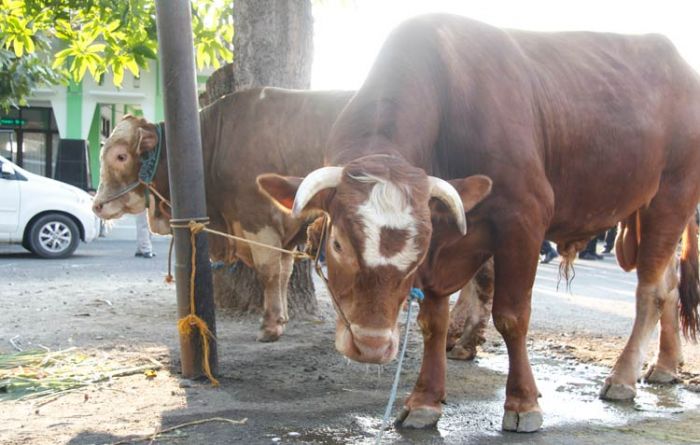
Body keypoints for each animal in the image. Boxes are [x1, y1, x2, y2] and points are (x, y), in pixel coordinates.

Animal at [92, 86, 352, 340]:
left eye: (121, 156)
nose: (97, 205)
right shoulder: (285, 230)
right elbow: (284, 272)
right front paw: (281, 319)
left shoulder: (258, 218)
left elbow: (268, 272)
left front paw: (270, 326)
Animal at [260, 15, 700, 432]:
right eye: (337, 244)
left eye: (417, 249)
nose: (372, 346)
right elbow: (433, 322)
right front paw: (424, 400)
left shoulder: (523, 220)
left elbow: (512, 315)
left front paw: (523, 403)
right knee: (669, 285)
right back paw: (664, 366)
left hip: (673, 195)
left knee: (649, 292)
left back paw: (623, 378)